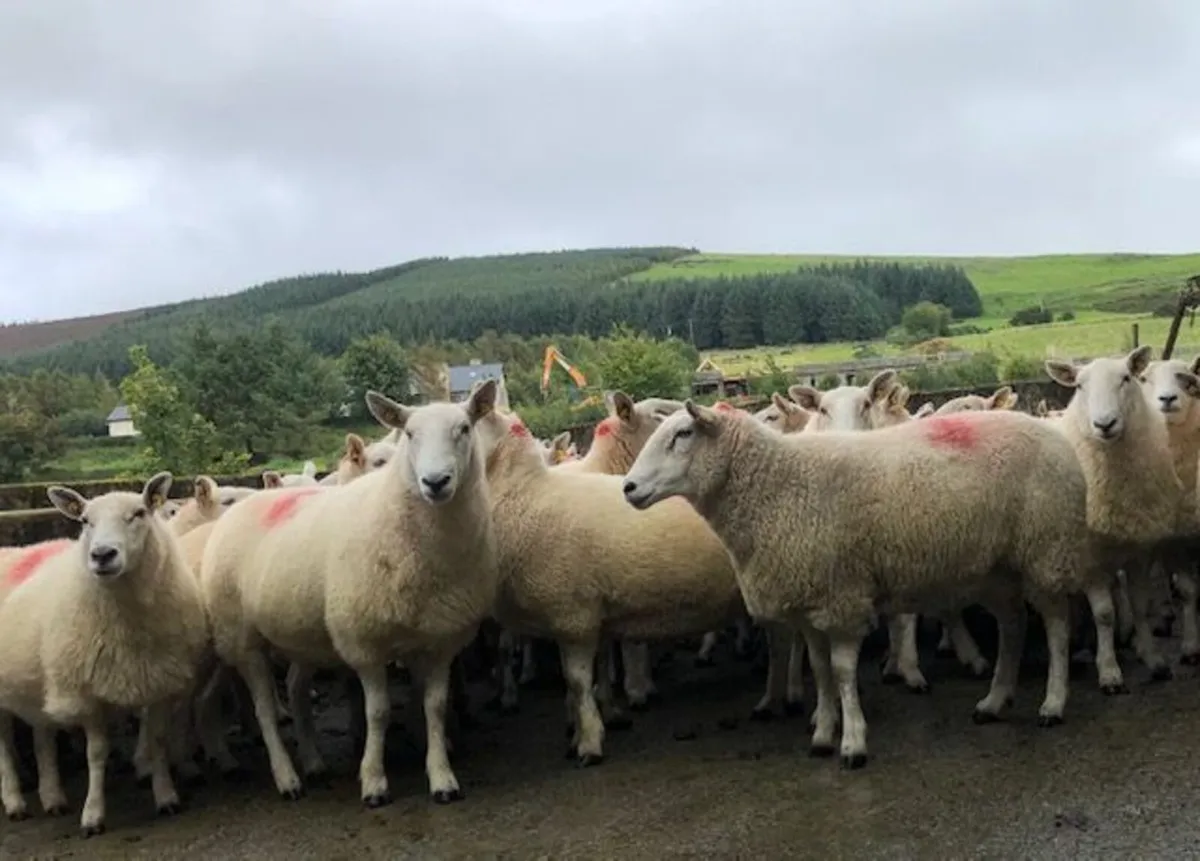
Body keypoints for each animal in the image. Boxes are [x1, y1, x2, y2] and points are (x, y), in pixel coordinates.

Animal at [0, 473, 209, 836]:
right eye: (85, 521)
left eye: (139, 513)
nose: (102, 554)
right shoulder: (88, 693)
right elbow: (96, 754)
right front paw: (93, 815)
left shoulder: (157, 681)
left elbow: (157, 740)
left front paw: (166, 796)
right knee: (4, 747)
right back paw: (14, 801)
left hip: (40, 679)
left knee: (42, 736)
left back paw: (53, 797)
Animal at [199, 382, 499, 806]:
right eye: (410, 434)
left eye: (464, 429)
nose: (435, 482)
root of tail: (251, 499)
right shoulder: (364, 641)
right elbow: (378, 712)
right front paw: (373, 781)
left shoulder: (440, 638)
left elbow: (435, 706)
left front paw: (441, 775)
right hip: (241, 637)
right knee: (264, 712)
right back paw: (287, 777)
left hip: (300, 633)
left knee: (296, 688)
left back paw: (312, 761)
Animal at [471, 406, 746, 764]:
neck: (524, 494)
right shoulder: (591, 613)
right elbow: (592, 671)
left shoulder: (574, 616)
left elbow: (578, 680)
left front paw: (590, 740)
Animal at [621, 402, 1114, 768]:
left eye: (683, 434)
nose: (628, 487)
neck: (777, 486)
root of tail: (1053, 433)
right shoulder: (810, 601)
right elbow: (819, 670)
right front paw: (823, 733)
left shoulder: (840, 595)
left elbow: (841, 671)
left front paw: (853, 742)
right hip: (997, 568)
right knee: (1013, 625)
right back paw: (993, 701)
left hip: (1045, 548)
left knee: (1056, 626)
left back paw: (1053, 703)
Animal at [1045, 346, 1195, 682]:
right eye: (1079, 386)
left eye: (1127, 378)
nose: (1104, 424)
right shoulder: (1089, 559)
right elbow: (1104, 614)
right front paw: (1109, 671)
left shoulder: (1140, 550)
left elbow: (1140, 604)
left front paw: (1153, 658)